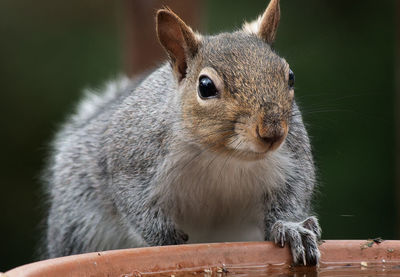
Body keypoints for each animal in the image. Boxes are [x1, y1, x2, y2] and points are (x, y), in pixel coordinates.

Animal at [43, 0, 322, 266]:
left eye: (290, 76)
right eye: (206, 86)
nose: (272, 131)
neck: (222, 155)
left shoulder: (292, 159)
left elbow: (292, 196)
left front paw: (292, 230)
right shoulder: (133, 159)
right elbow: (136, 204)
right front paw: (167, 241)